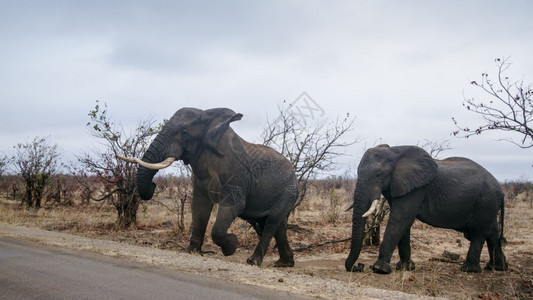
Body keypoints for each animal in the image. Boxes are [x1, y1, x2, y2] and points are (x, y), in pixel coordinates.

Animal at [117, 108, 300, 268]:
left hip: (288, 192)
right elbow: (200, 206)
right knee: (277, 226)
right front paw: (191, 251)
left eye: (185, 133)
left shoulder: (235, 175)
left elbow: (232, 208)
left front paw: (231, 246)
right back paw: (284, 263)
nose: (153, 185)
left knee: (272, 222)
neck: (210, 117)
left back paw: (253, 262)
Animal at [344, 145, 508, 274]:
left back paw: (469, 269)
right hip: (488, 204)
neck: (394, 152)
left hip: (485, 201)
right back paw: (497, 268)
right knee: (492, 231)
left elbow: (400, 219)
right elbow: (404, 223)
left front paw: (379, 269)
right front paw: (405, 268)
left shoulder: (417, 189)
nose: (359, 266)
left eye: (379, 175)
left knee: (479, 232)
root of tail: (501, 190)